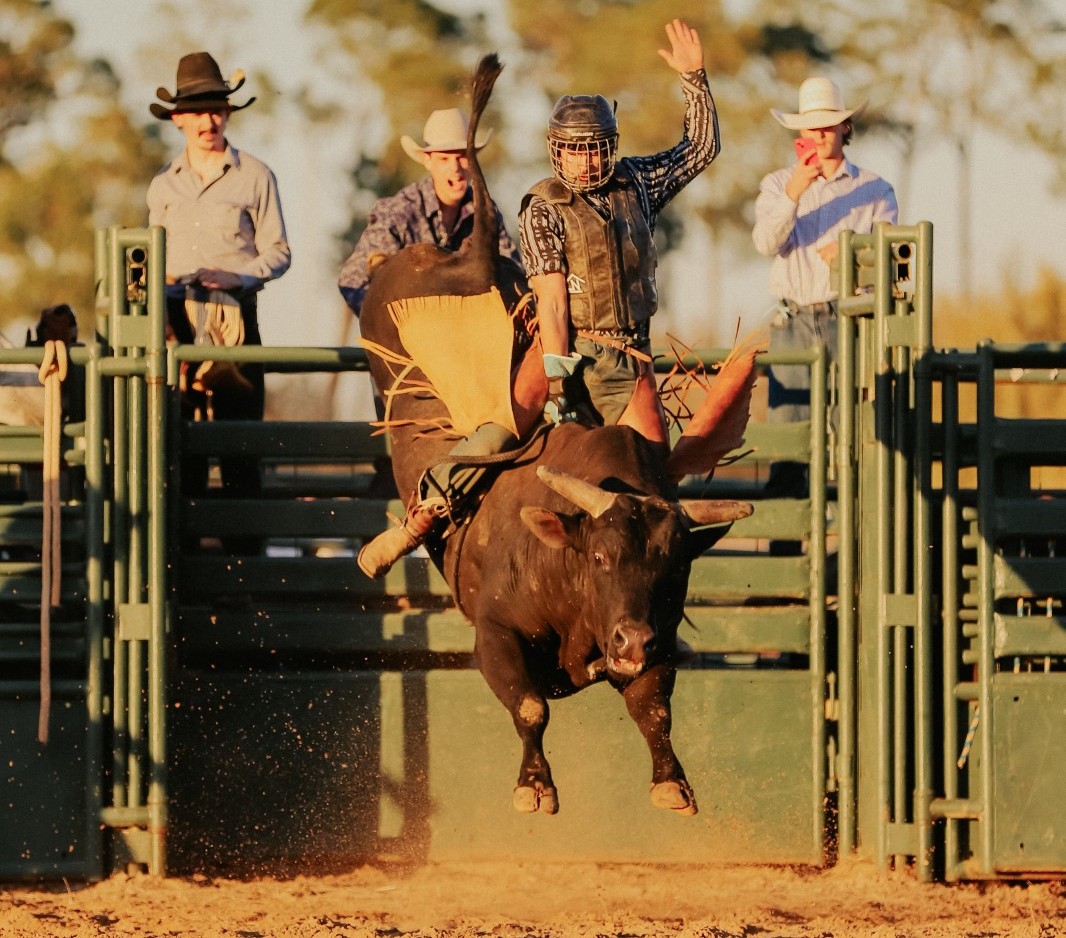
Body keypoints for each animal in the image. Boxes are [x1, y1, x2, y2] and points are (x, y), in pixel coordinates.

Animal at [357, 55, 755, 816]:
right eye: (599, 556)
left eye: (674, 564)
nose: (631, 637)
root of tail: (468, 255)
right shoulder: (494, 633)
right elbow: (532, 706)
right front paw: (534, 789)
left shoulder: (659, 643)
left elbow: (653, 707)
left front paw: (671, 783)